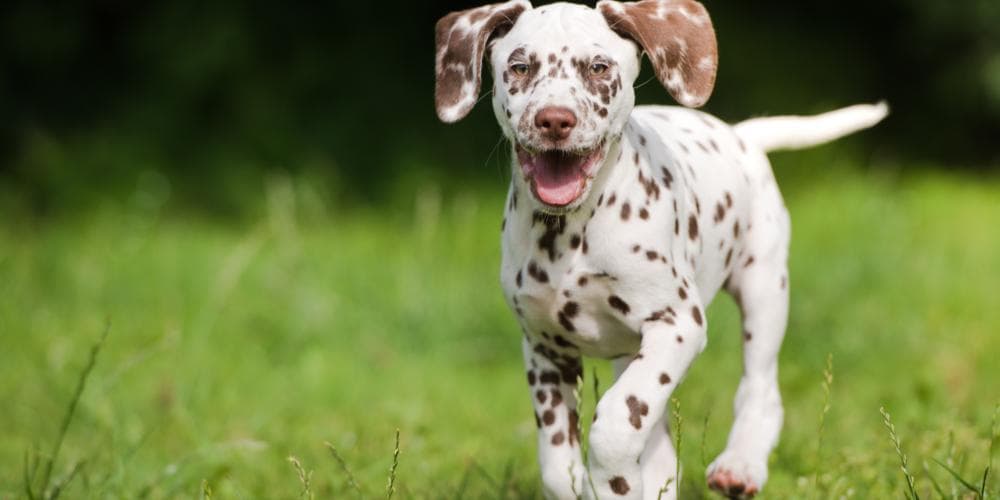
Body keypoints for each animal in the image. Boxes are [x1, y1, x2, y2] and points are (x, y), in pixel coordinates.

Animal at [434, 1, 888, 498]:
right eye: (519, 66)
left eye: (598, 68)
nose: (554, 119)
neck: (571, 234)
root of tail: (741, 136)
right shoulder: (544, 349)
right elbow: (559, 465)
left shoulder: (678, 325)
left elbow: (614, 424)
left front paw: (611, 476)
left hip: (764, 290)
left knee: (760, 389)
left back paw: (740, 465)